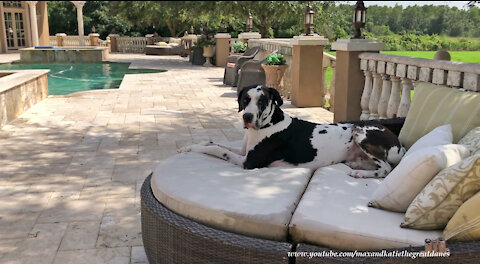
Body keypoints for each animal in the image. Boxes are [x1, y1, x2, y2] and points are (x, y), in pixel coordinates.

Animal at [178, 85, 406, 178]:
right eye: (245, 99)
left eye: (262, 101)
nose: (247, 117)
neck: (270, 124)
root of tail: (399, 144)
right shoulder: (243, 152)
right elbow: (213, 143)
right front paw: (190, 145)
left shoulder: (248, 162)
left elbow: (218, 150)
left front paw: (193, 149)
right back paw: (357, 164)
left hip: (361, 132)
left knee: (386, 169)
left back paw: (361, 172)